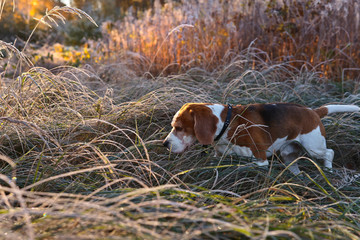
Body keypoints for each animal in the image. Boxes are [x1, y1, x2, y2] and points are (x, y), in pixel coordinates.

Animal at [164, 102, 360, 174]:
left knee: (329, 152)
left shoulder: (260, 159)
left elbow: (243, 164)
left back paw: (328, 169)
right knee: (294, 166)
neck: (228, 124)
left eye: (179, 128)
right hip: (288, 154)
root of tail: (313, 111)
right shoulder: (218, 156)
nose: (165, 144)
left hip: (314, 147)